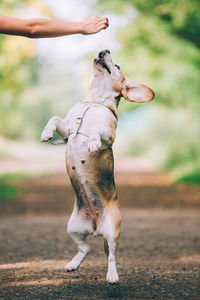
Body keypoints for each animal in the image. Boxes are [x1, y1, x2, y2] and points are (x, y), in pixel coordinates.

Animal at [39, 49, 154, 284]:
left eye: (117, 66)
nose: (104, 50)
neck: (94, 102)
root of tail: (95, 227)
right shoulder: (66, 129)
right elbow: (54, 119)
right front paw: (46, 133)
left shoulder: (109, 134)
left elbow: (96, 130)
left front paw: (92, 141)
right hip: (73, 228)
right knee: (85, 249)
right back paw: (73, 264)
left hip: (112, 231)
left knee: (111, 256)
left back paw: (112, 276)